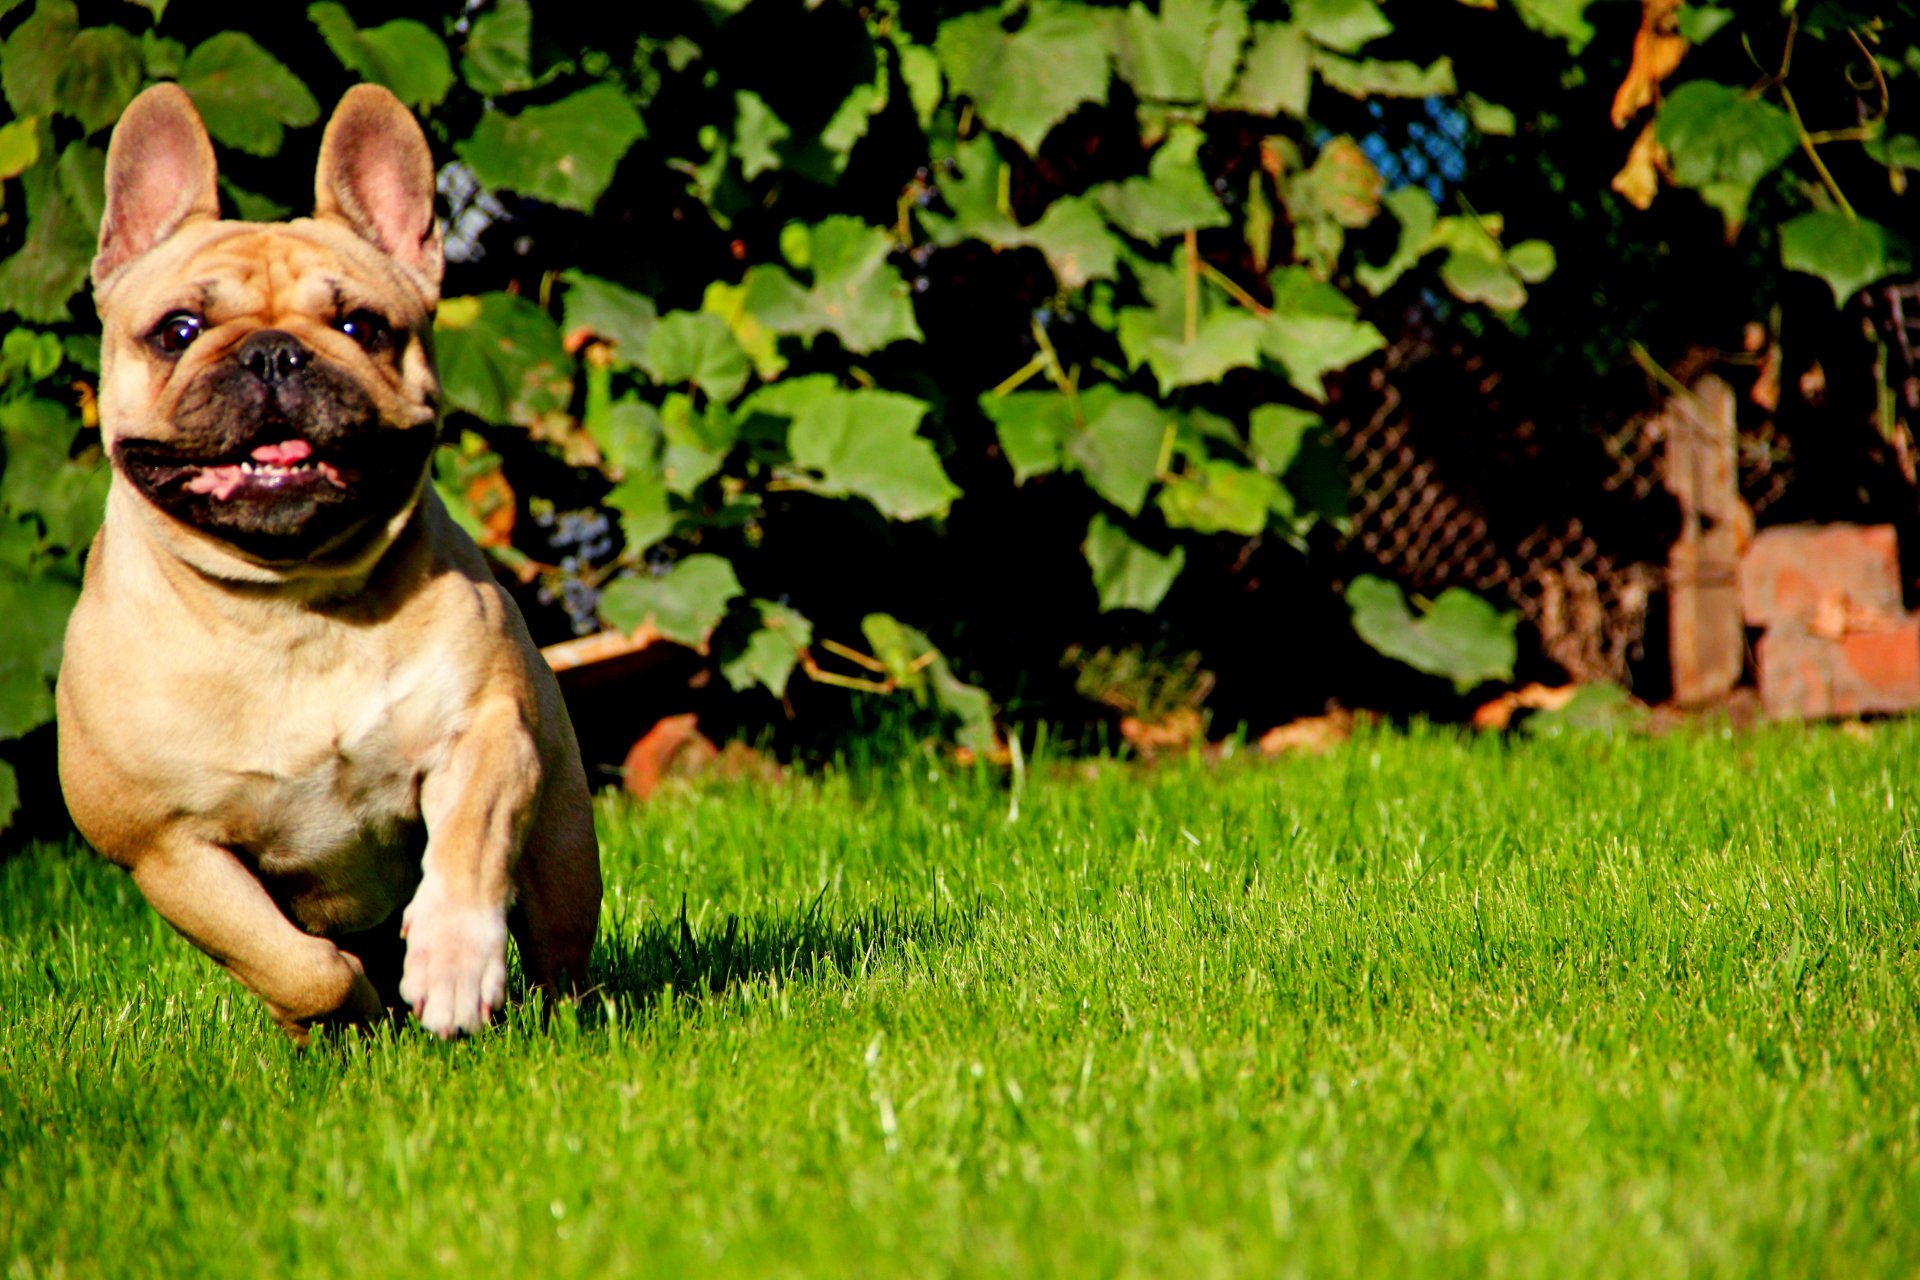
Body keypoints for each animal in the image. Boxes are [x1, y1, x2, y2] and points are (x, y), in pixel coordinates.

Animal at [56, 82, 599, 1043]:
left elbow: (468, 851)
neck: (289, 604)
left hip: (564, 836)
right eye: (178, 330)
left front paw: (452, 964)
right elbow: (293, 964)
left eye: (361, 325)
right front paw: (353, 1011)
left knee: (560, 940)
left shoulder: (486, 734)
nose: (275, 351)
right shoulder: (164, 847)